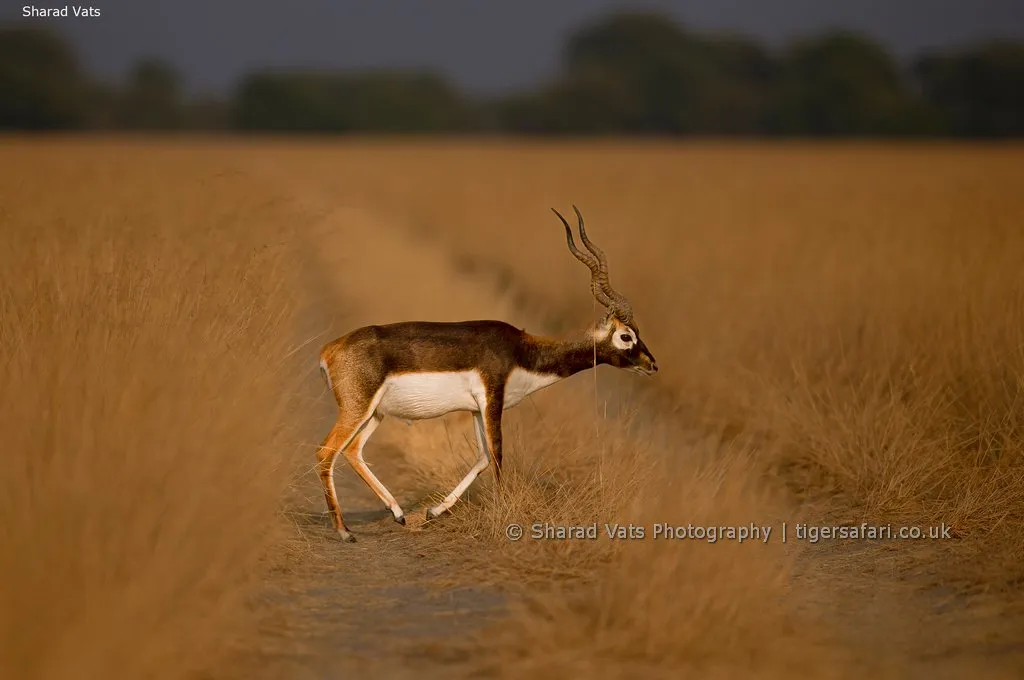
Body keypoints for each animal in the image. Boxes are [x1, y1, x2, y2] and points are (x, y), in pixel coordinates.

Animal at [315, 206, 659, 540]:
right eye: (626, 336)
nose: (652, 365)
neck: (521, 350)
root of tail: (330, 350)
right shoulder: (493, 399)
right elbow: (497, 455)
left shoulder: (476, 409)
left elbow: (482, 458)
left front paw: (433, 512)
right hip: (358, 409)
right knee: (326, 453)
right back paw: (344, 532)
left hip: (376, 413)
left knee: (353, 451)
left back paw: (398, 514)